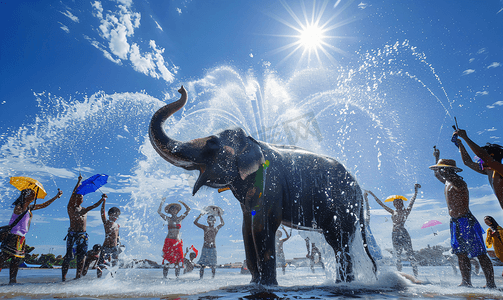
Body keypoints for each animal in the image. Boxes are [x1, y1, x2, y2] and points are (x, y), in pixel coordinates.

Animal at [150, 85, 378, 284]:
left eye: (212, 142)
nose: (180, 89)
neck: (254, 142)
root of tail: (359, 189)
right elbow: (246, 229)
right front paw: (254, 283)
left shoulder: (270, 184)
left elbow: (262, 225)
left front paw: (267, 285)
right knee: (337, 242)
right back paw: (342, 282)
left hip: (343, 205)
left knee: (339, 240)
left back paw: (344, 284)